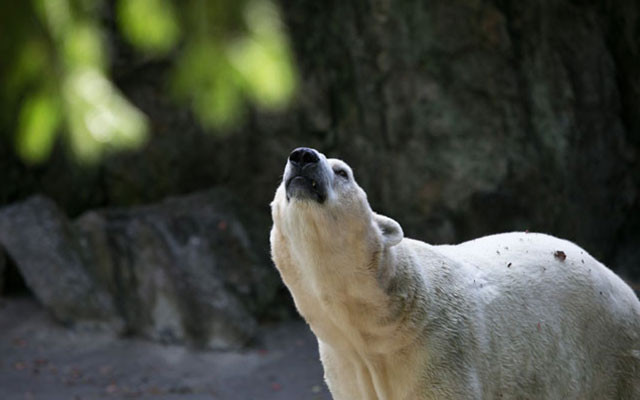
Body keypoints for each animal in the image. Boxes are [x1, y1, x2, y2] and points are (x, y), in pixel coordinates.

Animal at [270, 148, 640, 400]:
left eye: (342, 171)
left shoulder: (440, 354)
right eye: (281, 180)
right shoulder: (348, 368)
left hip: (613, 355)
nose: (302, 156)